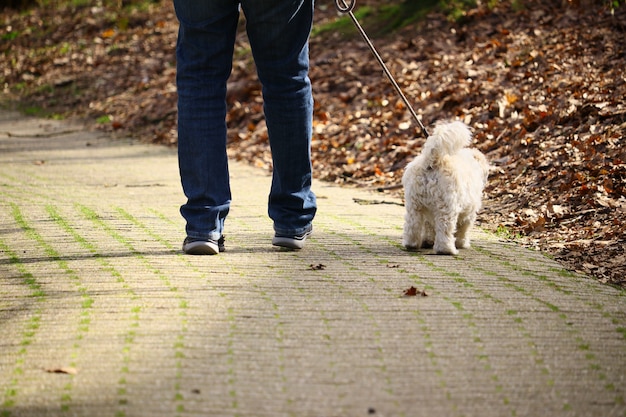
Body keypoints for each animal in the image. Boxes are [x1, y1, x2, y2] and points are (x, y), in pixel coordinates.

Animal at [400, 121, 488, 254]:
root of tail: (431, 162)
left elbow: (429, 226)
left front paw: (428, 241)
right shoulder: (468, 212)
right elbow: (463, 228)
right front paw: (462, 243)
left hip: (414, 204)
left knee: (412, 224)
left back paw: (411, 244)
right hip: (447, 206)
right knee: (445, 228)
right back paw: (446, 249)